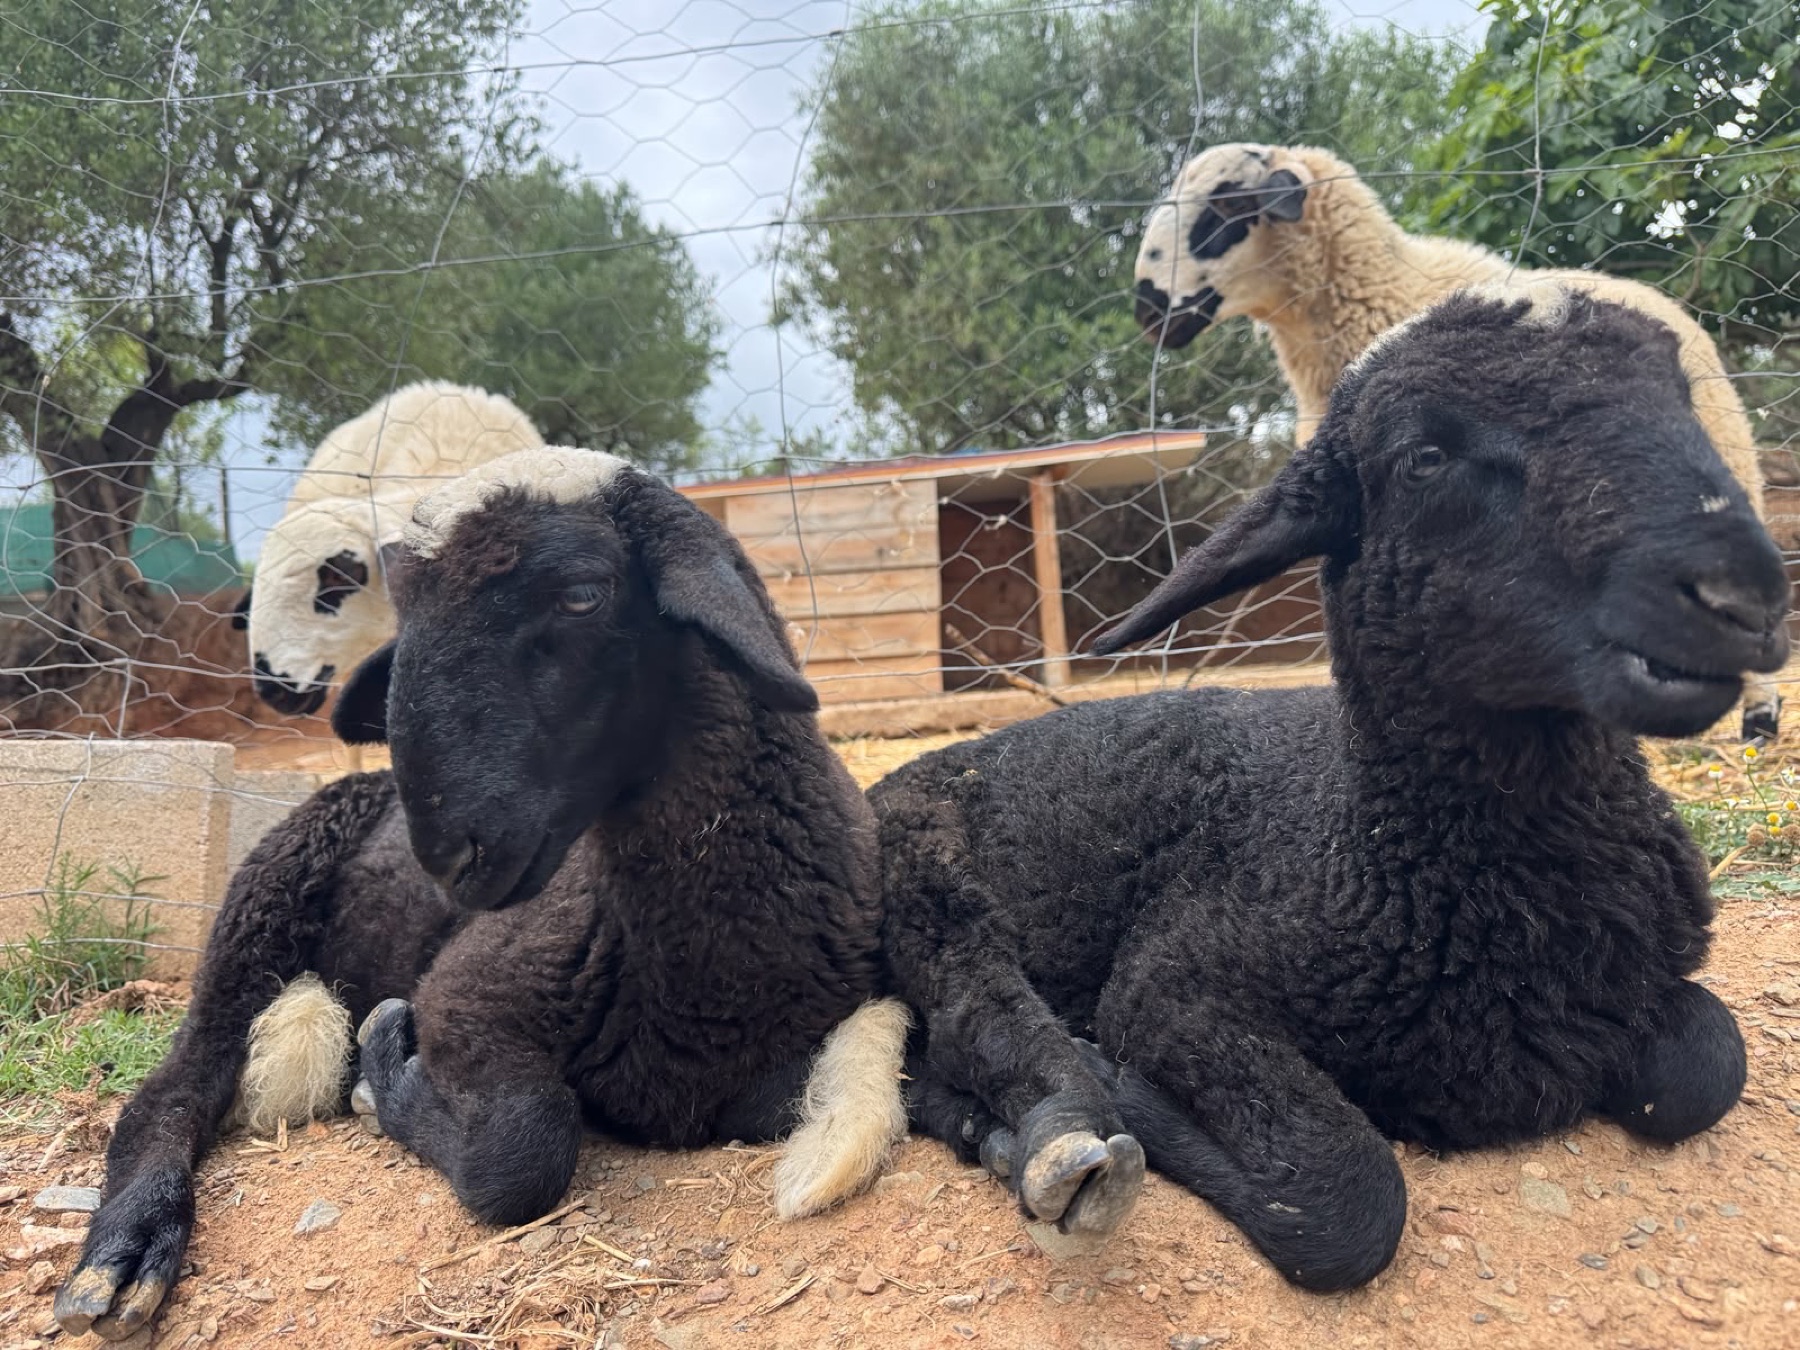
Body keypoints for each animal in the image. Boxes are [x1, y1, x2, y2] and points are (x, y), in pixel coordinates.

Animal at [56, 446, 909, 1341]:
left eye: (583, 593)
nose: (442, 852)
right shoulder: (464, 995)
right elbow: (524, 1147)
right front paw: (386, 1080)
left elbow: (786, 1098)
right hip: (260, 909)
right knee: (182, 1076)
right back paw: (125, 1254)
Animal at [873, 289, 1787, 1292]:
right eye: (1423, 456)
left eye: (1681, 397)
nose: (1742, 596)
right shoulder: (1174, 983)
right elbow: (1346, 1203)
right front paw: (1121, 1085)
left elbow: (1708, 1065)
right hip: (927, 884)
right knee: (976, 1010)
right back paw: (1061, 1128)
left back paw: (991, 1132)